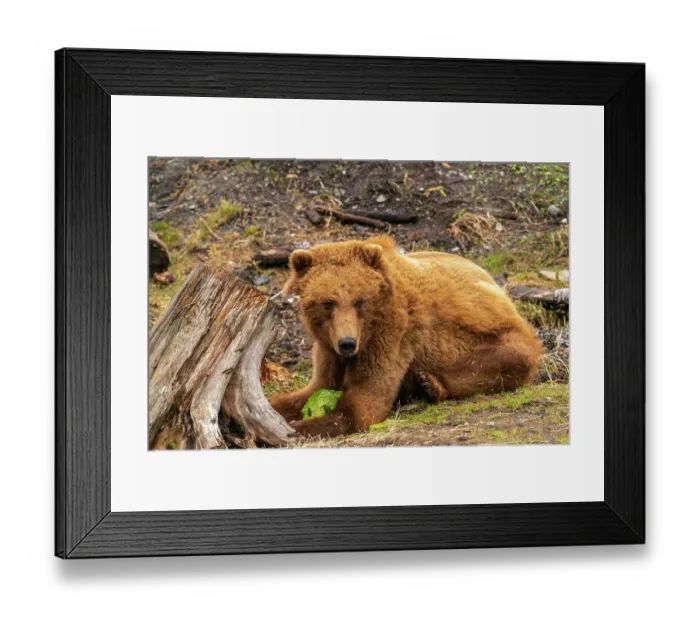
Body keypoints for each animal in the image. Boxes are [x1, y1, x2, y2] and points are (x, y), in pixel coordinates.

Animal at [268, 236, 544, 439]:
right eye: (328, 303)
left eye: (359, 301)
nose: (347, 343)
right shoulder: (328, 349)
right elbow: (314, 389)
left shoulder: (390, 336)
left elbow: (363, 404)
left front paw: (295, 429)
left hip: (497, 332)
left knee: (503, 360)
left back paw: (430, 384)